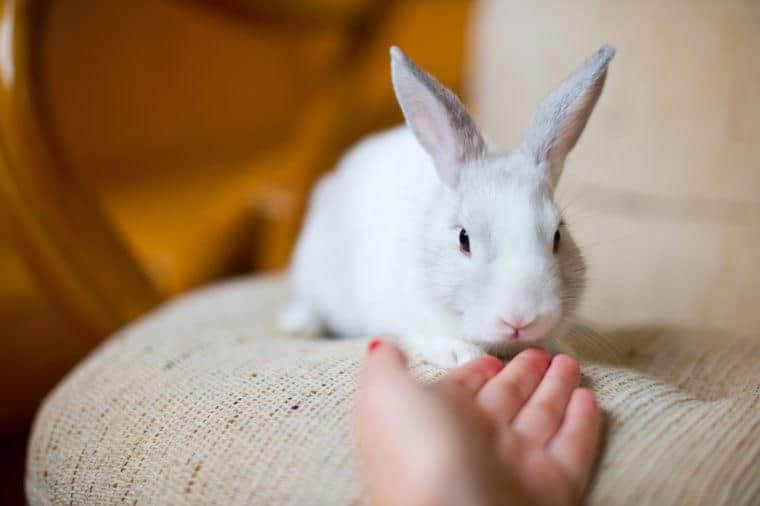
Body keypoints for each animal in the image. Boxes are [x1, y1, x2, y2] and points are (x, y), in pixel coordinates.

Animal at [280, 44, 616, 368]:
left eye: (558, 236)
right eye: (463, 239)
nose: (520, 318)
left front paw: (559, 349)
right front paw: (462, 355)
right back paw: (298, 325)